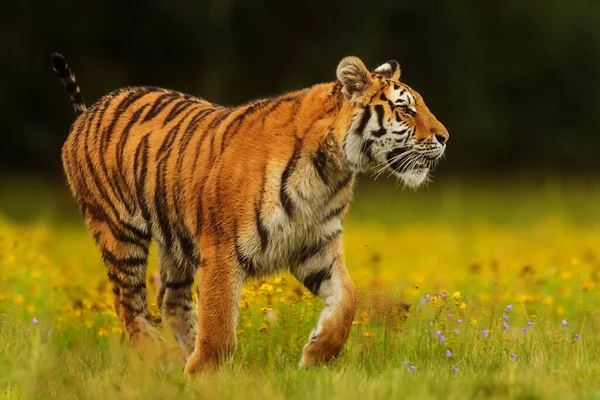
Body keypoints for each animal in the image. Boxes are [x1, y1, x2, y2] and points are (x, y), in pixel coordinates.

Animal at [50, 53, 446, 376]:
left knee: (170, 299)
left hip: (174, 236)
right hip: (118, 232)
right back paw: (166, 359)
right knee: (128, 304)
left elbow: (347, 299)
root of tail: (87, 112)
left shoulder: (315, 245)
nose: (445, 137)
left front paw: (316, 355)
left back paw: (182, 355)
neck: (330, 172)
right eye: (405, 109)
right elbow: (219, 320)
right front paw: (206, 375)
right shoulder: (221, 249)